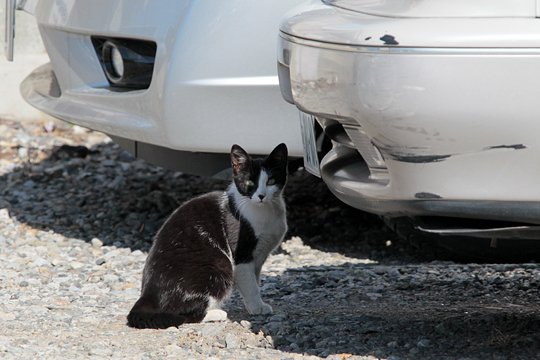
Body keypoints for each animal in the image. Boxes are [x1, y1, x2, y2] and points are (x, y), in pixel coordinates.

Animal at [127, 142, 288, 328]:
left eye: (271, 181)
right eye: (250, 182)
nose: (261, 196)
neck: (265, 212)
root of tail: (147, 294)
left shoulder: (260, 255)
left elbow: (255, 280)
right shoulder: (241, 254)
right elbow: (250, 284)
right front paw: (258, 307)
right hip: (220, 265)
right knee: (184, 314)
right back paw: (218, 313)